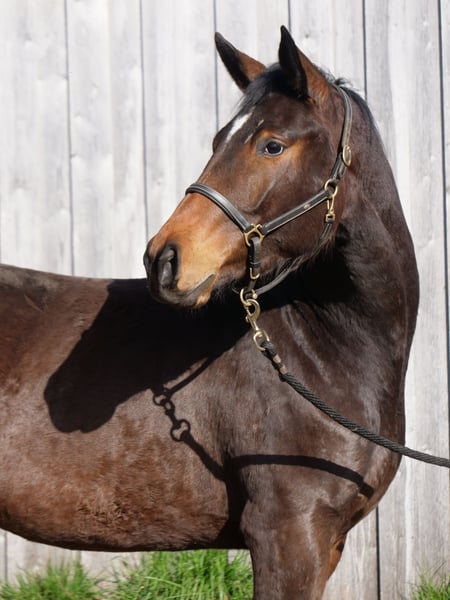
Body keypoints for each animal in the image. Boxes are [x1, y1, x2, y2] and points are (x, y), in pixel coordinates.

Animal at [0, 27, 418, 599]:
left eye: (271, 144)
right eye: (219, 140)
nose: (164, 259)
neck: (324, 355)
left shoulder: (322, 544)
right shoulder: (289, 536)